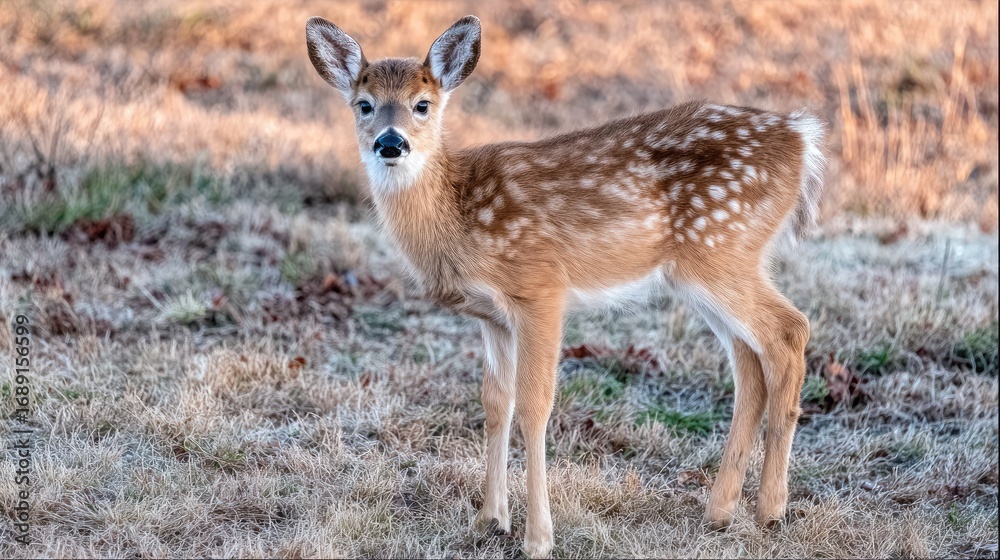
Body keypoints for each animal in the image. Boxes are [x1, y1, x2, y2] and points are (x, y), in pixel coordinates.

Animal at [305, 15, 825, 558]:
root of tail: (803, 136)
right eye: (364, 104)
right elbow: (496, 403)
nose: (391, 143)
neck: (458, 217)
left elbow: (535, 405)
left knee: (790, 331)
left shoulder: (539, 287)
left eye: (422, 104)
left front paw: (537, 538)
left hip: (721, 250)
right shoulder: (491, 315)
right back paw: (720, 512)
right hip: (708, 269)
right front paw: (488, 521)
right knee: (750, 361)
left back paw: (770, 510)